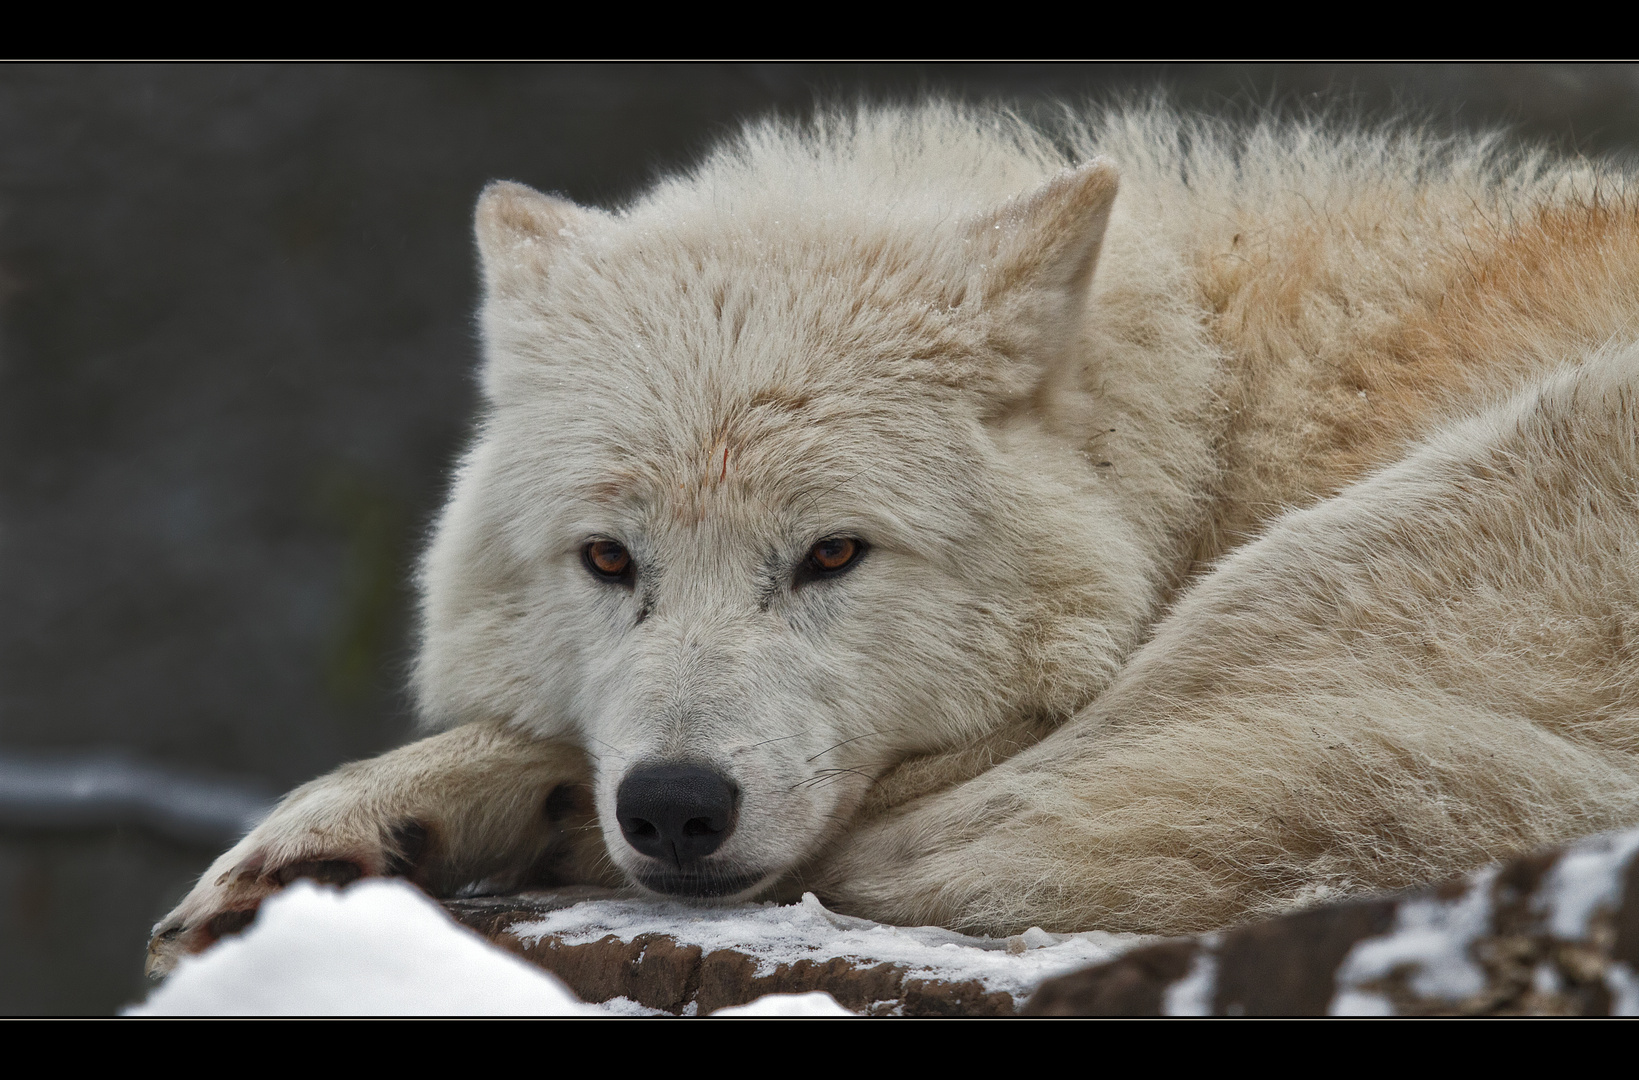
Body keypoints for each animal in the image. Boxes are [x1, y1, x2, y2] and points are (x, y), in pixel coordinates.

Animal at [147, 103, 1639, 970]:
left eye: (831, 554)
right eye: (609, 560)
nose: (673, 804)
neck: (1219, 408)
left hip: (1322, 571)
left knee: (916, 845)